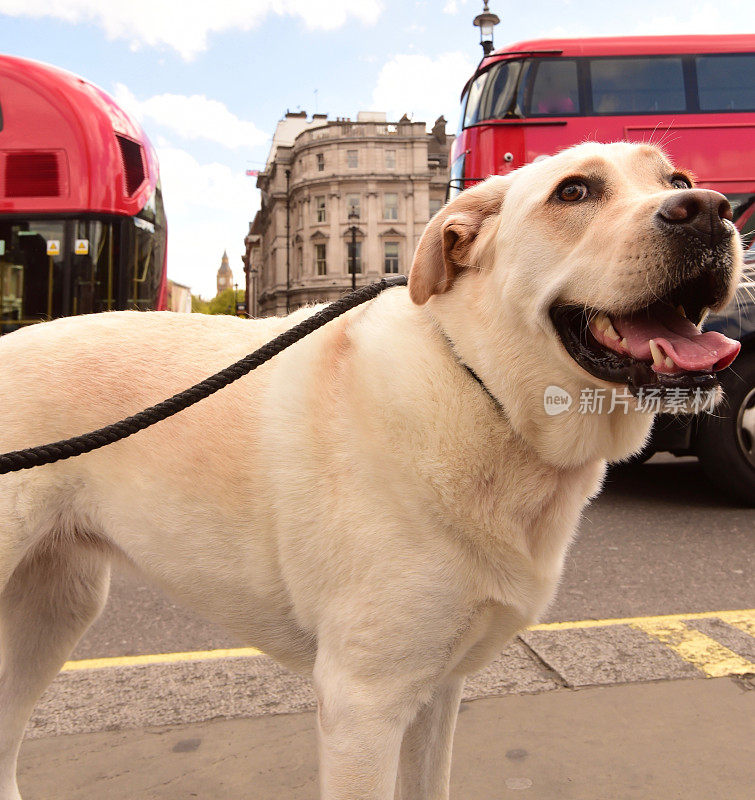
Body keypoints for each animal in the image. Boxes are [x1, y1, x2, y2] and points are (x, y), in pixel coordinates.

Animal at [0, 141, 744, 796]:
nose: (711, 209)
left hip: (54, 607)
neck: (482, 391)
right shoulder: (363, 704)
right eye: (574, 192)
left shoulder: (436, 691)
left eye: (677, 178)